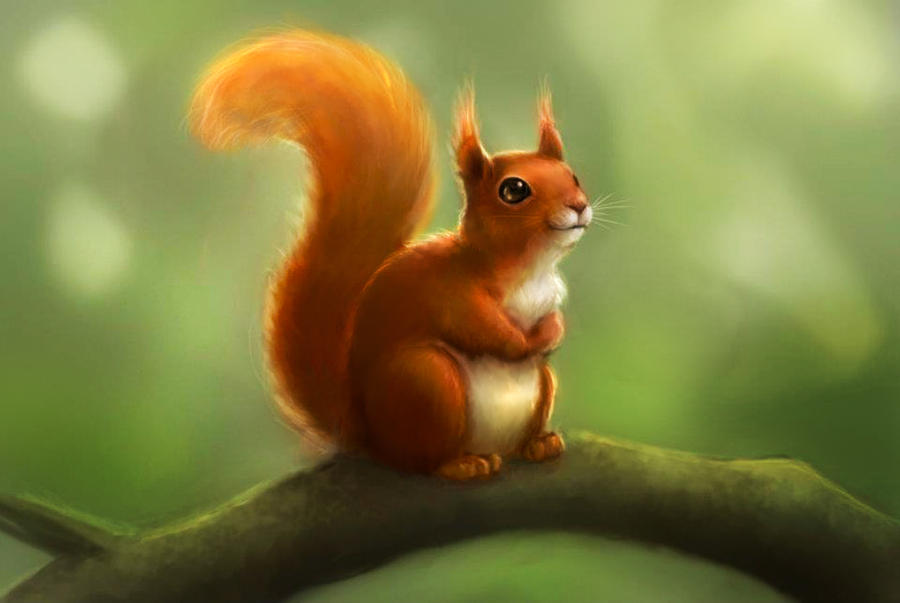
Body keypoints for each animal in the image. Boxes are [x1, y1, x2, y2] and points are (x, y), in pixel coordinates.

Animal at [189, 30, 591, 480]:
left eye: (574, 176)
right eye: (514, 190)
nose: (578, 205)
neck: (529, 267)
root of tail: (367, 436)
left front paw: (553, 329)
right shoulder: (450, 292)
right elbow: (486, 332)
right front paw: (528, 339)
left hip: (539, 386)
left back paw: (538, 444)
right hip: (428, 382)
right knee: (421, 459)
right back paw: (462, 464)